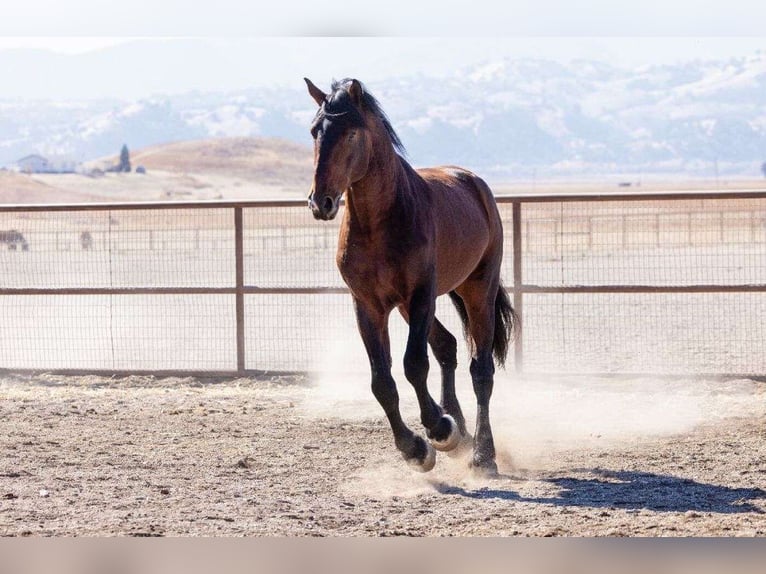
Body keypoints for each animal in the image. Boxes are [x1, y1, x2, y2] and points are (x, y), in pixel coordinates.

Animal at [304, 77, 518, 475]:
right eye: (314, 131)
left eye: (351, 133)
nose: (320, 202)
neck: (379, 223)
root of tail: (472, 181)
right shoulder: (368, 306)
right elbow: (382, 381)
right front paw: (417, 447)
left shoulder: (419, 295)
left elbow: (414, 365)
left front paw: (438, 429)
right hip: (412, 306)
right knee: (447, 346)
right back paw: (461, 431)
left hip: (477, 290)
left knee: (480, 370)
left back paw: (483, 454)